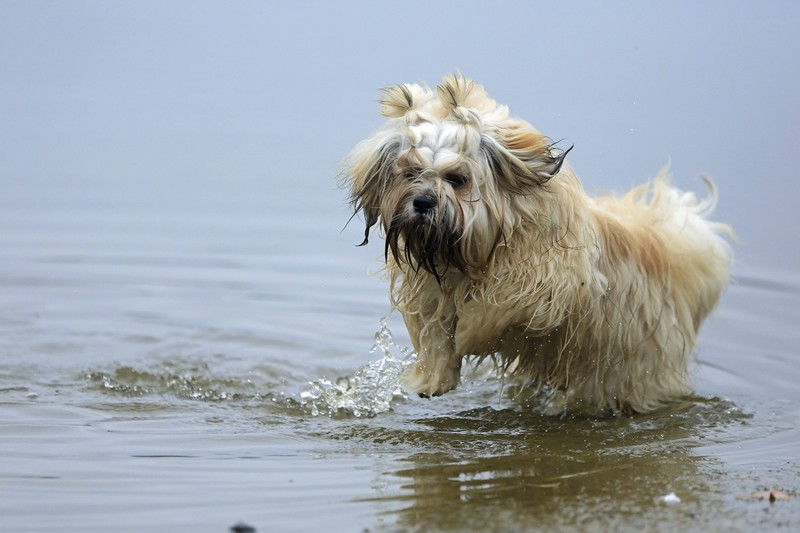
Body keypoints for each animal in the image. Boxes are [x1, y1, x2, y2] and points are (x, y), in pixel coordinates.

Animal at [340, 74, 728, 416]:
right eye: (410, 173)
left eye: (457, 179)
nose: (422, 202)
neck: (480, 249)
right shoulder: (433, 292)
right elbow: (436, 332)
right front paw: (430, 379)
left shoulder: (552, 283)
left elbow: (497, 306)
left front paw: (467, 332)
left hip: (631, 369)